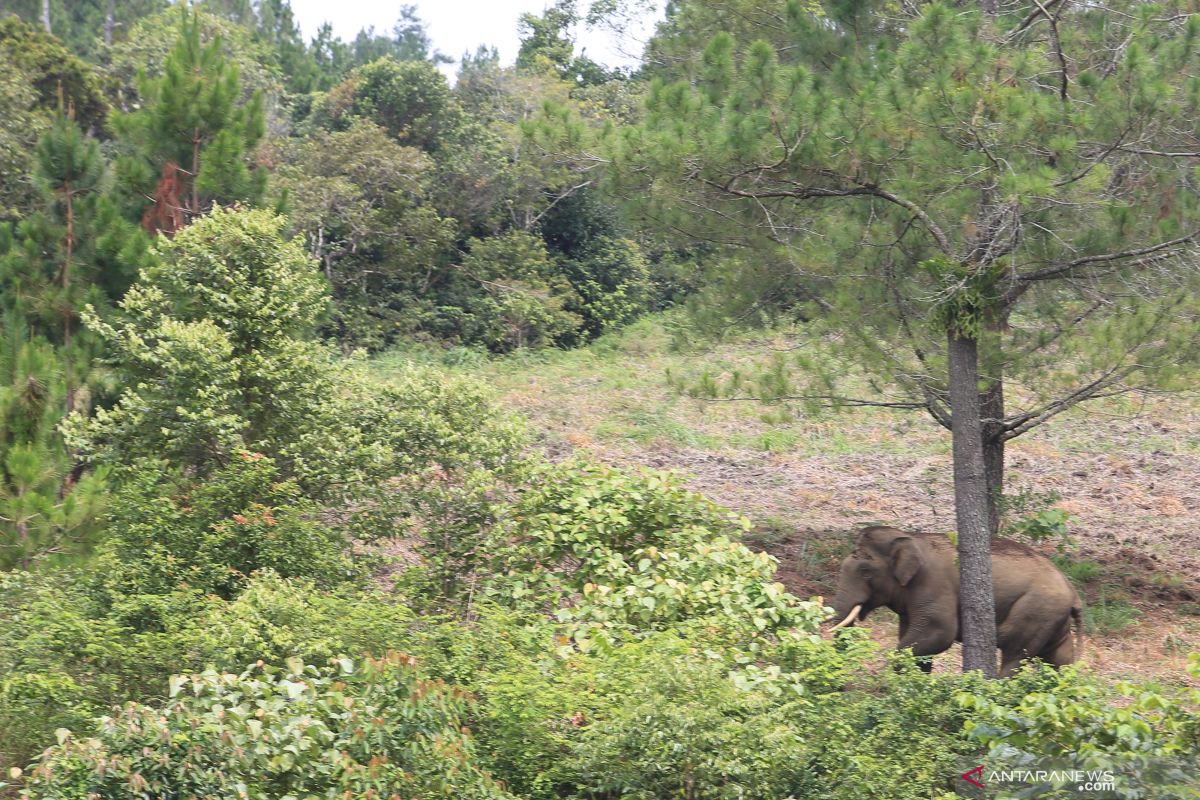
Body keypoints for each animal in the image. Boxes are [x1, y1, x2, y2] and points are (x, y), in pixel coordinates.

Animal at [830, 525, 1084, 676]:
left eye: (865, 571)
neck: (911, 538)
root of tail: (1073, 592)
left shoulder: (933, 585)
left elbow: (939, 634)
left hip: (1036, 611)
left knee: (1015, 654)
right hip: (1053, 620)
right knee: (1059, 659)